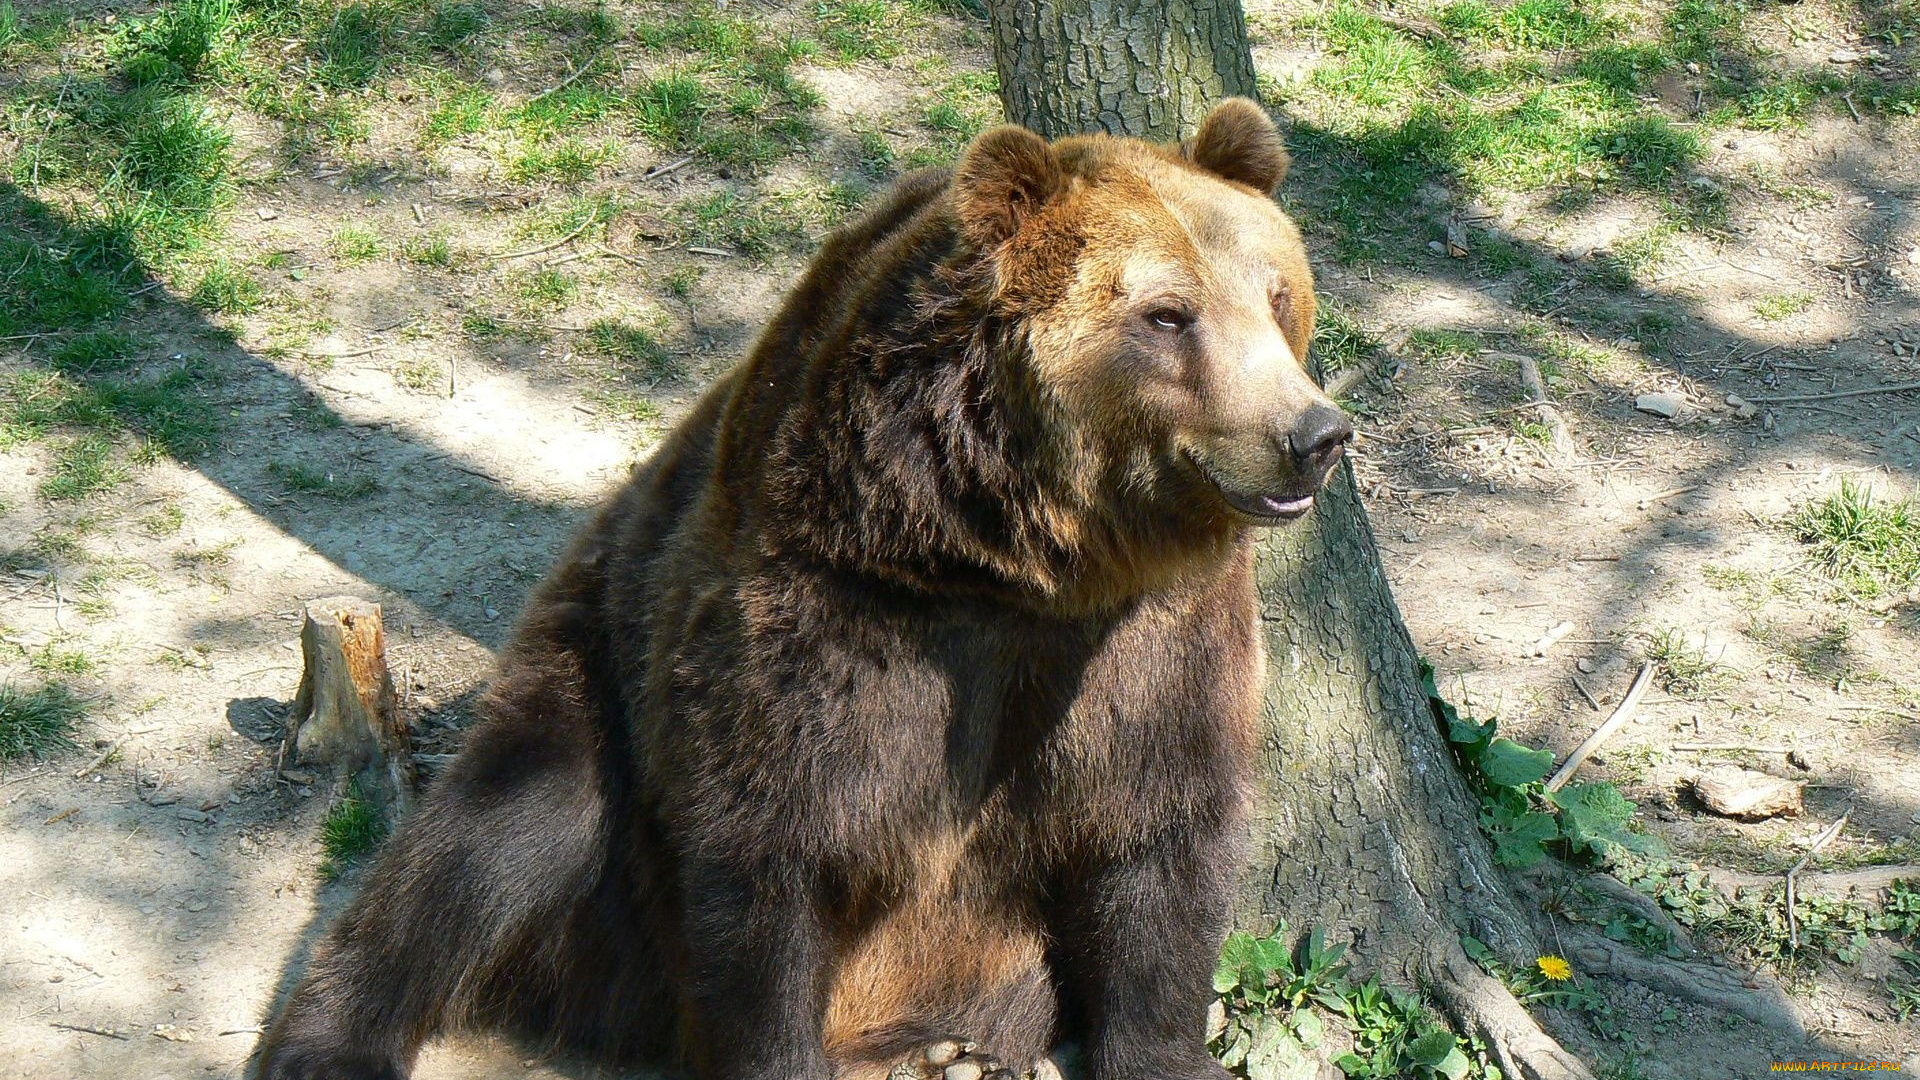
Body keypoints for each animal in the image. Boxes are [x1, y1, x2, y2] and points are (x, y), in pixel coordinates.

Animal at [254, 96, 1351, 1080]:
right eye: (1167, 314)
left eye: (1276, 296)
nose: (1314, 434)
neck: (1021, 557)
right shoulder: (838, 609)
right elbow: (772, 847)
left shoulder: (1149, 644)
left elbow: (1158, 849)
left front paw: (1162, 1049)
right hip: (596, 666)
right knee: (489, 837)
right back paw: (329, 1044)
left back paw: (946, 1057)